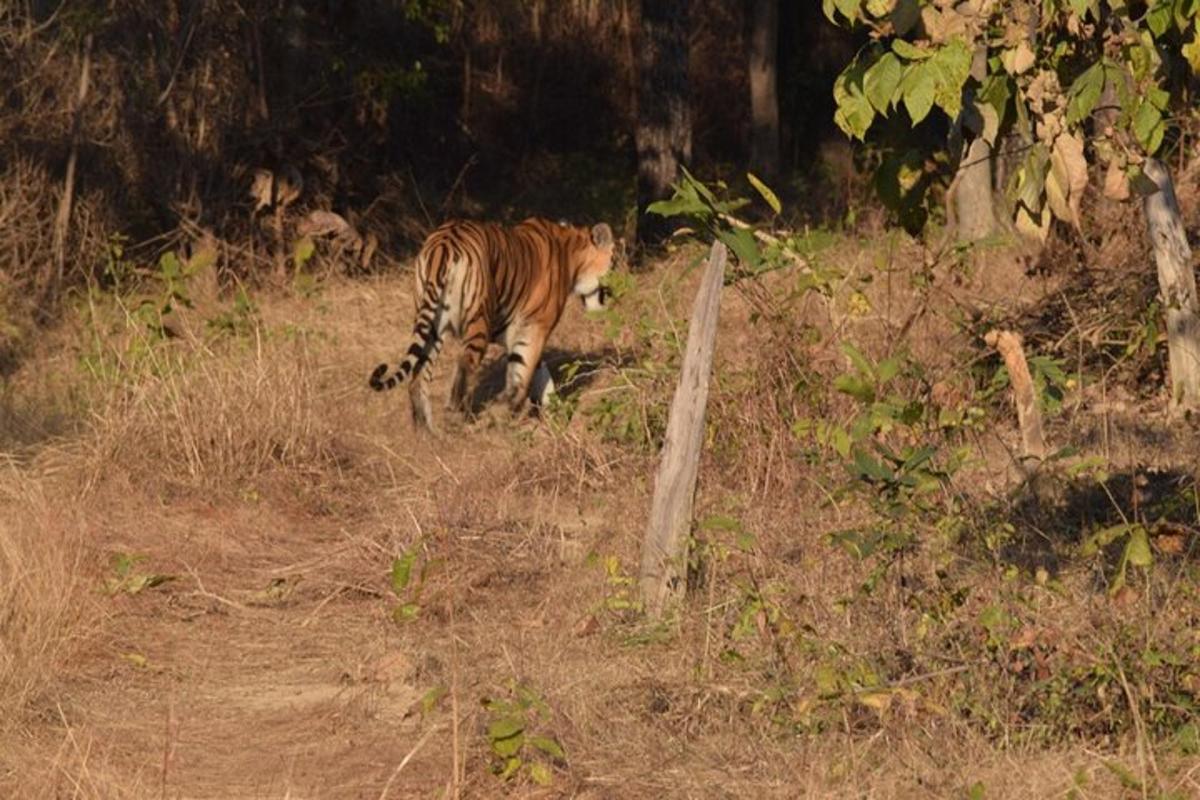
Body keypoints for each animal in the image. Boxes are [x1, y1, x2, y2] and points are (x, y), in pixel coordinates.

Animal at [367, 217, 619, 431]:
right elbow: (523, 374)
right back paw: (454, 414)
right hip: (478, 320)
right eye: (614, 263)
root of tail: (444, 242)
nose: (617, 293)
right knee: (464, 363)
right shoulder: (535, 328)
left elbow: (536, 373)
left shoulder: (518, 333)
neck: (573, 256)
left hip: (432, 325)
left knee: (418, 375)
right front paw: (507, 410)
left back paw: (425, 431)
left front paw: (552, 410)